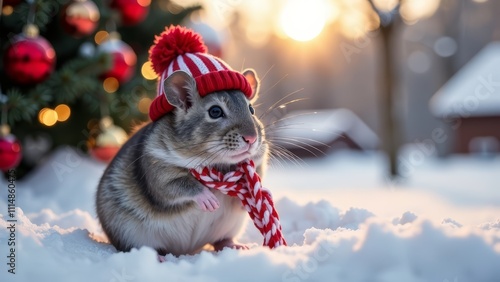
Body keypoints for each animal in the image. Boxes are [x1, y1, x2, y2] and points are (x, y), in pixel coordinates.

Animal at [97, 69, 270, 256]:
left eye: (251, 109)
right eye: (215, 111)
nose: (252, 138)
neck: (216, 163)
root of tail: (185, 250)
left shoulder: (259, 162)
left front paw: (253, 195)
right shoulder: (157, 169)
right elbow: (177, 186)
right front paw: (208, 199)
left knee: (220, 241)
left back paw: (234, 245)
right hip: (130, 235)